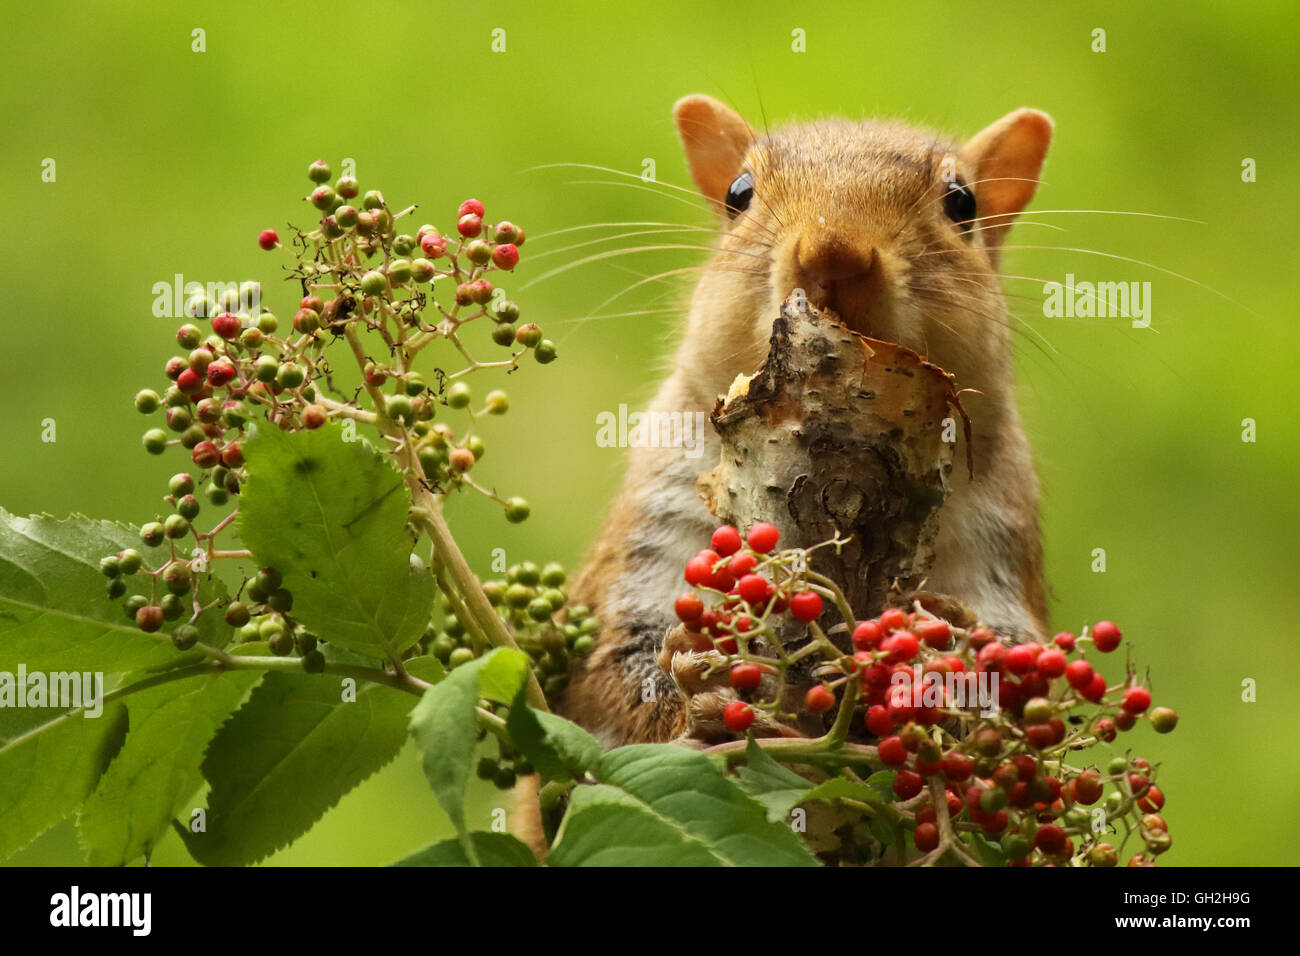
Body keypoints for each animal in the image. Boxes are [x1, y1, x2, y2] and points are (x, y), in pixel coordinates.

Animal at [553, 93, 1050, 749]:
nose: (832, 250)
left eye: (962, 202)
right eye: (738, 193)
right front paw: (703, 692)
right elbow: (612, 678)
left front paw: (946, 659)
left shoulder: (1000, 543)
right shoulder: (653, 529)